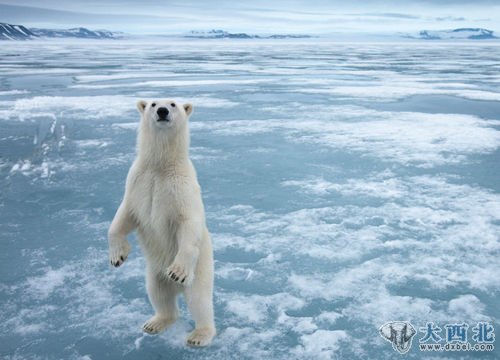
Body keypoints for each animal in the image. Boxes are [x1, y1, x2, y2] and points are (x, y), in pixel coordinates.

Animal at [108, 97, 216, 346]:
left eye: (174, 104)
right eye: (153, 103)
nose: (163, 111)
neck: (160, 166)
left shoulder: (181, 188)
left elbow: (189, 223)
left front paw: (177, 271)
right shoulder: (138, 182)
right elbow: (123, 216)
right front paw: (117, 256)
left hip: (200, 269)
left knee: (199, 300)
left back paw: (199, 335)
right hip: (154, 273)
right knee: (158, 294)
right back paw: (155, 323)